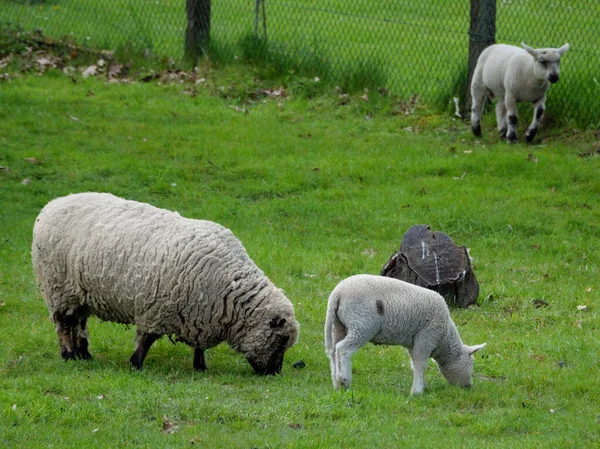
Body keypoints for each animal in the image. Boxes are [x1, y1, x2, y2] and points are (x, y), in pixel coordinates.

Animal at [31, 192, 298, 374]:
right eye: (281, 341)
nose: (274, 373)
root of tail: (52, 204)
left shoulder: (200, 314)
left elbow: (199, 346)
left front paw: (200, 366)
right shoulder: (158, 309)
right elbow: (147, 339)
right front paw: (135, 364)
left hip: (80, 294)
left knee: (79, 322)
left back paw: (83, 353)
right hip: (57, 288)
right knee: (63, 324)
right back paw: (68, 354)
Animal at [324, 272, 488, 392]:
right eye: (471, 363)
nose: (468, 386)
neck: (444, 336)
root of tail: (337, 294)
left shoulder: (412, 342)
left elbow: (414, 363)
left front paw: (422, 386)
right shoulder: (427, 336)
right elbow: (421, 363)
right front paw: (417, 391)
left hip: (338, 324)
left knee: (333, 351)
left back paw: (336, 383)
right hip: (362, 324)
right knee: (343, 349)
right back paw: (344, 381)